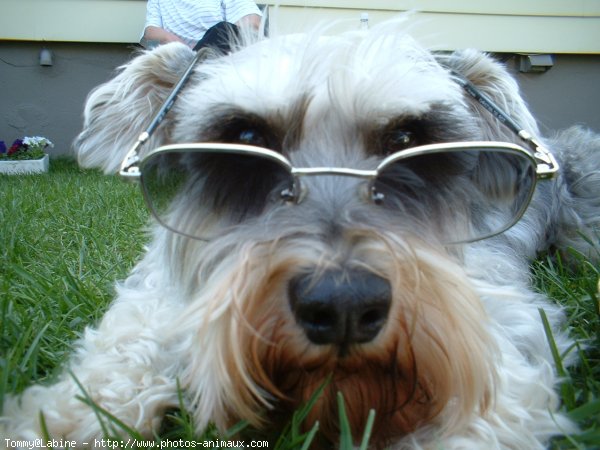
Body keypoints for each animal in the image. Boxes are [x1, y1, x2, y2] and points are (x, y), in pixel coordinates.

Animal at [3, 19, 600, 448]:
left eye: (408, 139)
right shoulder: (156, 295)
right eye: (244, 139)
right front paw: (54, 421)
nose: (343, 307)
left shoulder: (502, 332)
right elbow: (122, 351)